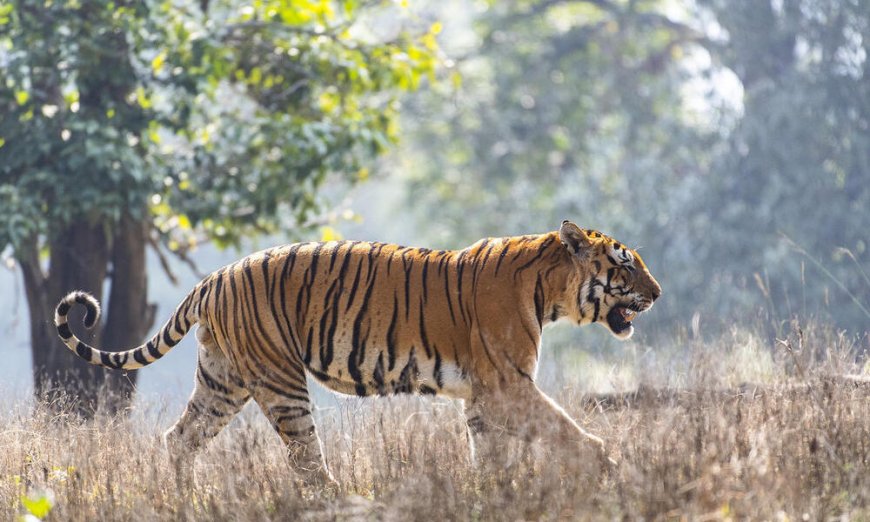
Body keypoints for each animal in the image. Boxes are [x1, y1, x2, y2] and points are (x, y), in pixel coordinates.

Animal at [54, 219, 660, 484]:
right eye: (625, 264)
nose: (657, 293)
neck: (549, 289)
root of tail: (216, 275)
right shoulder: (508, 385)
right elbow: (568, 431)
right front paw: (611, 467)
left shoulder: (484, 400)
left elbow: (490, 459)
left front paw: (493, 497)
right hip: (280, 384)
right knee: (307, 465)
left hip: (221, 381)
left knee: (179, 440)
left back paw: (186, 502)